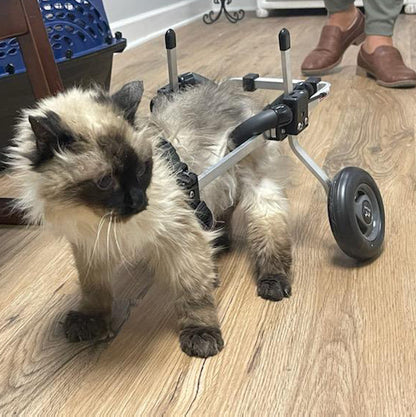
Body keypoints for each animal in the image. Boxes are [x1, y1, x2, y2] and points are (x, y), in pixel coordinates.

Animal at [7, 79, 292, 358]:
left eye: (142, 169)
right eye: (105, 182)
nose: (138, 202)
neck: (97, 219)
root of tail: (230, 91)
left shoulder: (182, 240)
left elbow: (194, 294)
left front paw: (201, 334)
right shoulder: (90, 248)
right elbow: (94, 289)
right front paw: (90, 319)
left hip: (258, 191)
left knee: (270, 234)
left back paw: (273, 282)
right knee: (223, 212)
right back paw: (219, 246)